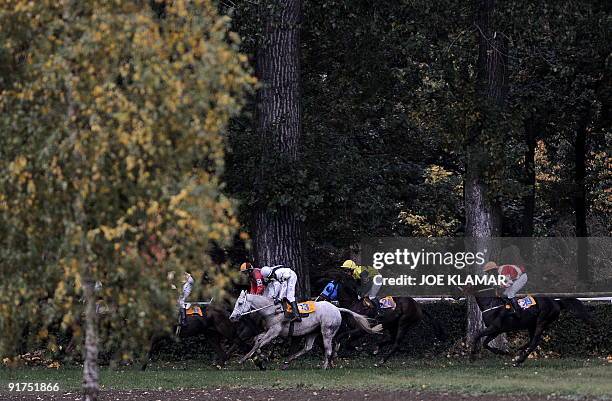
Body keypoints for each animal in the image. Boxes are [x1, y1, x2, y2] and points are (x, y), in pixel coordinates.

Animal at [231, 290, 382, 368]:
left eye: (240, 303)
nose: (232, 317)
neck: (273, 310)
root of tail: (337, 308)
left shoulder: (274, 332)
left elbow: (259, 343)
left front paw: (245, 359)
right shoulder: (270, 331)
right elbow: (257, 339)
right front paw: (259, 357)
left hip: (326, 331)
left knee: (328, 349)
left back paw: (324, 366)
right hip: (312, 332)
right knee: (308, 347)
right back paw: (288, 361)